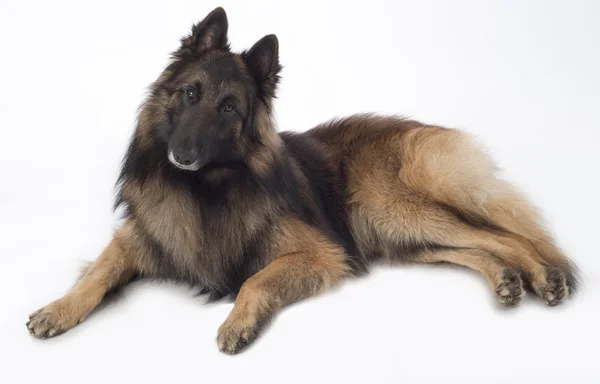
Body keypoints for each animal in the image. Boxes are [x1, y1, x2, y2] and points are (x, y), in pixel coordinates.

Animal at [27, 6, 576, 354]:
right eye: (190, 93)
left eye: (230, 108)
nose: (182, 155)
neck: (205, 188)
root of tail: (413, 127)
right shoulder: (140, 236)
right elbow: (96, 274)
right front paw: (57, 309)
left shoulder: (320, 253)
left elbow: (254, 279)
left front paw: (237, 322)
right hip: (393, 236)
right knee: (474, 246)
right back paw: (505, 279)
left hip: (392, 210)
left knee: (505, 235)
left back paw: (543, 275)